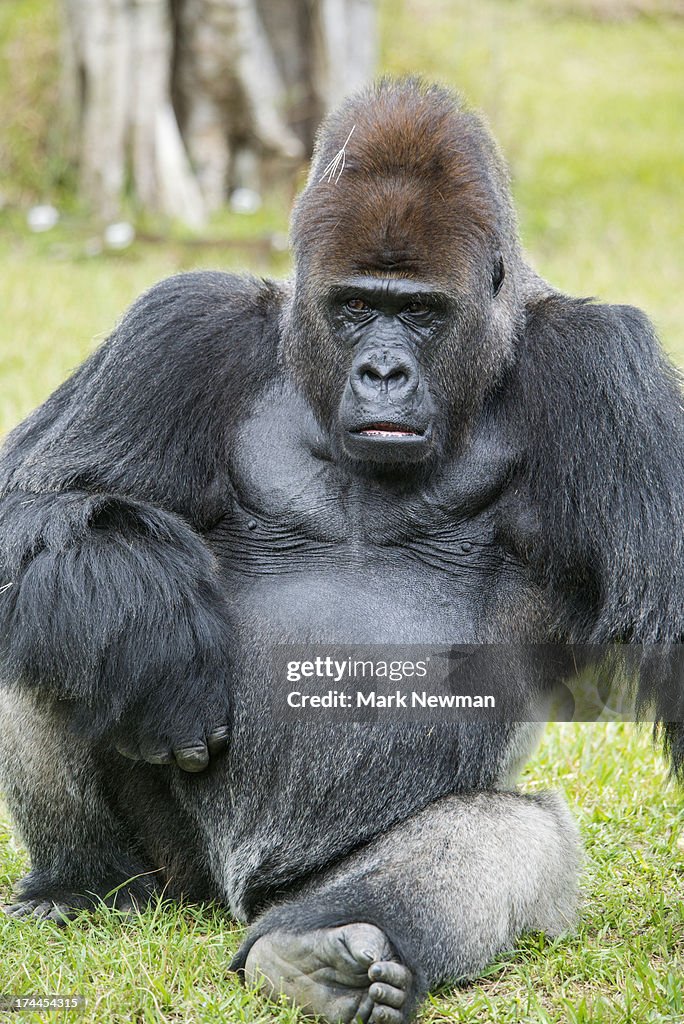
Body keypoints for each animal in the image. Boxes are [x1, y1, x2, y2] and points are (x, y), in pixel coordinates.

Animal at [1, 79, 684, 1024]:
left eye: (421, 313)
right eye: (357, 306)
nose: (384, 374)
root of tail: (235, 893)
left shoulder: (606, 368)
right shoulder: (181, 323)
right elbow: (30, 502)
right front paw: (156, 625)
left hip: (312, 879)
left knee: (509, 835)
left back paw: (325, 949)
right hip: (178, 877)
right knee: (57, 606)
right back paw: (83, 884)